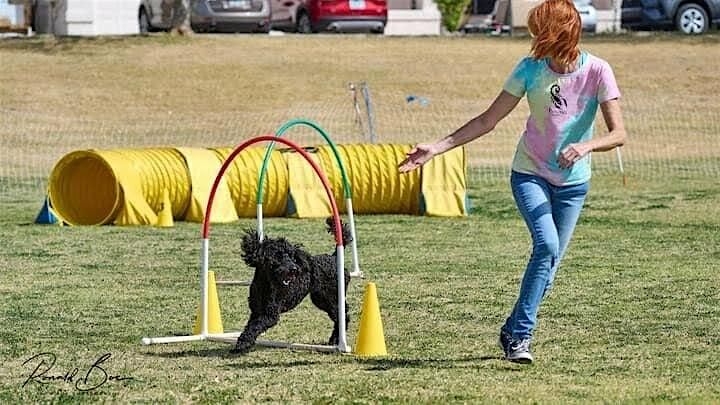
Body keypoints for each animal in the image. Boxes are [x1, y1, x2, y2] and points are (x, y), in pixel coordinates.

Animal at [232, 218, 352, 354]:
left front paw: (243, 344)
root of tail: (334, 257)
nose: (294, 269)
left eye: (291, 256)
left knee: (343, 316)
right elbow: (250, 326)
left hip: (331, 298)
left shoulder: (270, 315)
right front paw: (245, 343)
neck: (265, 284)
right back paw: (333, 340)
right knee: (340, 317)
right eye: (277, 256)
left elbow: (255, 327)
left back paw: (337, 341)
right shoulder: (256, 311)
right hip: (321, 299)